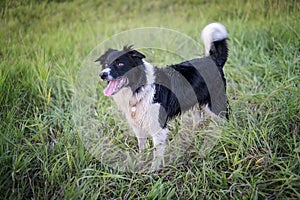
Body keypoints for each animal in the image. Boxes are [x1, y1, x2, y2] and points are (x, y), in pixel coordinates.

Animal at [97, 22, 229, 170]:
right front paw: (140, 161)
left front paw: (153, 171)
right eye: (106, 64)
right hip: (195, 104)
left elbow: (156, 154)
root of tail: (213, 60)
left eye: (120, 63)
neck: (139, 87)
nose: (102, 75)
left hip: (215, 104)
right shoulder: (137, 125)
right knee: (198, 121)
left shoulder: (158, 127)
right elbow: (142, 147)